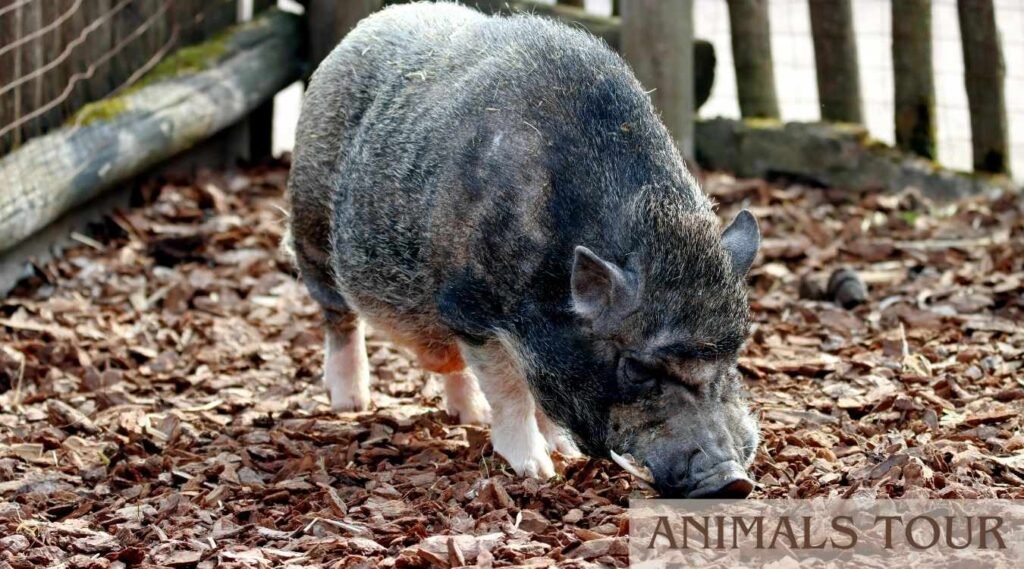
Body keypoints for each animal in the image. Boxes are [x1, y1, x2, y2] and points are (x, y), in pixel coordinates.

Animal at [286, 2, 761, 498]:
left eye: (733, 355)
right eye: (636, 367)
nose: (732, 481)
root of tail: (364, 28)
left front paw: (564, 454)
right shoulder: (471, 307)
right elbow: (512, 390)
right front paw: (538, 471)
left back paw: (469, 416)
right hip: (311, 225)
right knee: (339, 316)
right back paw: (350, 403)